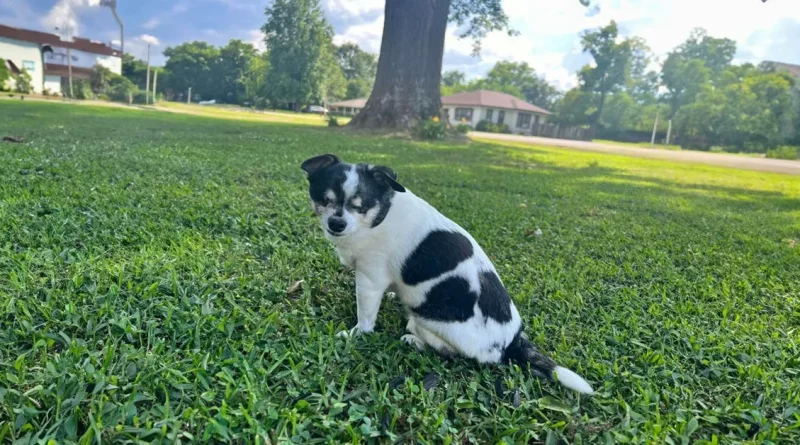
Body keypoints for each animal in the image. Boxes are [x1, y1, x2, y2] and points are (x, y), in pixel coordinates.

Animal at [300, 154, 592, 394]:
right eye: (324, 200)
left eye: (360, 207)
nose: (336, 223)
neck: (380, 215)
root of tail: (512, 342)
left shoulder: (370, 281)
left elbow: (366, 317)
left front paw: (356, 333)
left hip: (426, 322)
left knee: (444, 349)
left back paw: (413, 340)